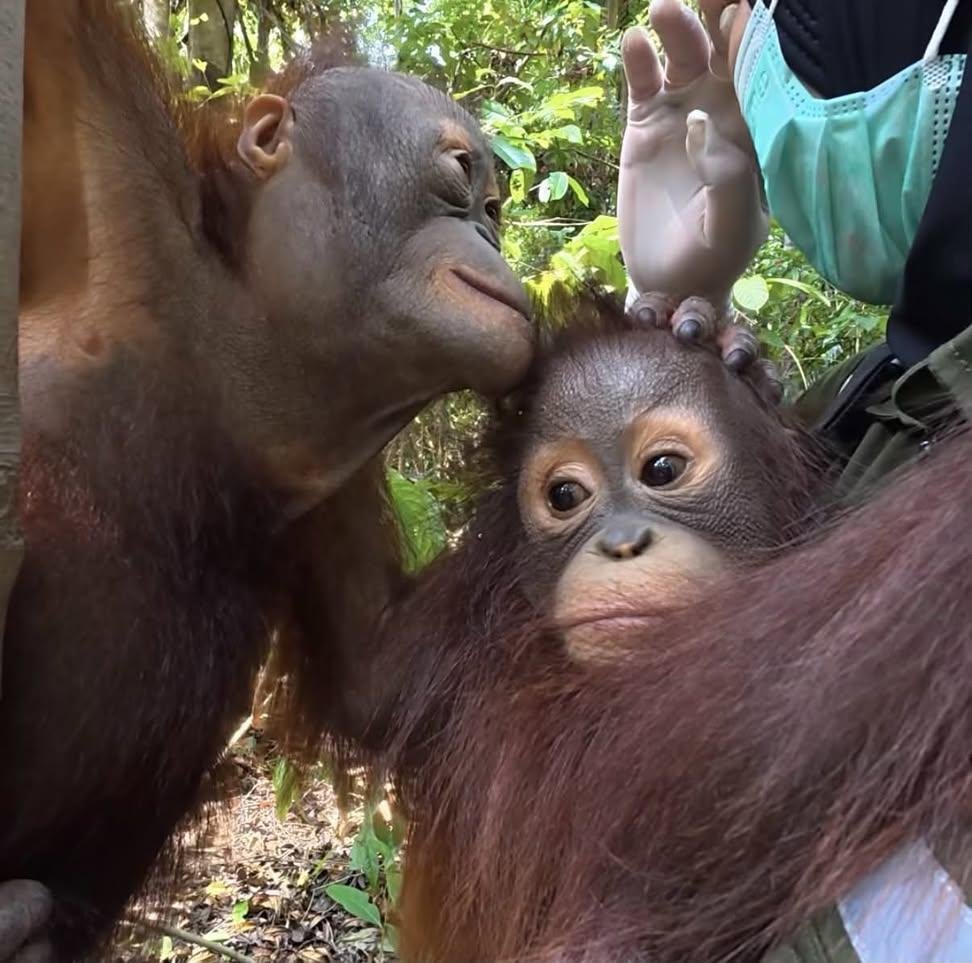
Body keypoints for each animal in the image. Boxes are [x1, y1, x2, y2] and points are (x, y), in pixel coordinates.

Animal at [0, 1, 534, 958]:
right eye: (458, 177)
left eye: (496, 209)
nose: (489, 232)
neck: (235, 358)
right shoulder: (111, 159)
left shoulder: (333, 478)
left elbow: (380, 675)